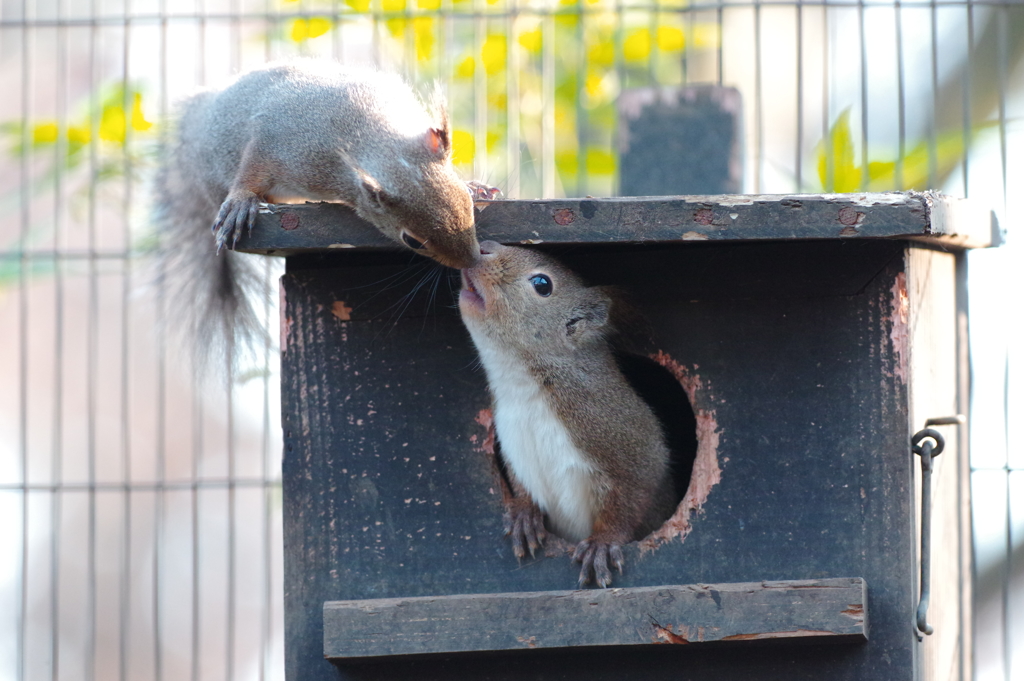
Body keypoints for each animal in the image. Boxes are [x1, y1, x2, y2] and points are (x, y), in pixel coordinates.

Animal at [153, 59, 485, 360]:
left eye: (466, 205)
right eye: (412, 241)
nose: (472, 261)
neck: (364, 128)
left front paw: (475, 185)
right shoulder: (277, 146)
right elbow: (251, 172)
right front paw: (242, 200)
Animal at [460, 241, 675, 585]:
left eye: (542, 284)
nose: (484, 247)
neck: (524, 386)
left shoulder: (622, 436)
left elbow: (632, 496)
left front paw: (603, 542)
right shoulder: (513, 444)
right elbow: (521, 486)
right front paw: (524, 513)